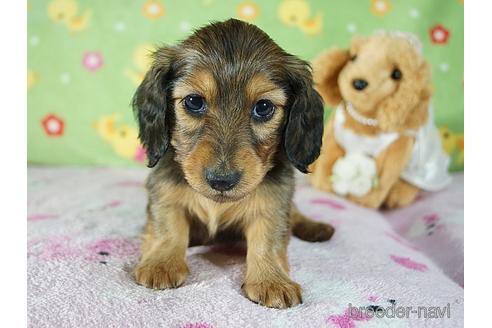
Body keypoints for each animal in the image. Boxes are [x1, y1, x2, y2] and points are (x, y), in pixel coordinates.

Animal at [131, 19, 334, 308]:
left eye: (263, 107)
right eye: (194, 101)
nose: (222, 181)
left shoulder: (274, 201)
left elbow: (268, 239)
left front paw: (271, 280)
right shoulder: (164, 191)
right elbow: (167, 226)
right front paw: (162, 262)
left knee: (295, 213)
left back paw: (314, 227)